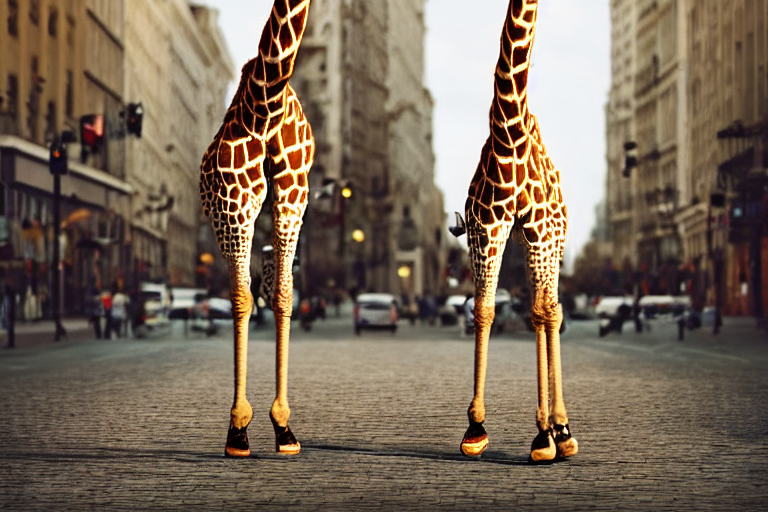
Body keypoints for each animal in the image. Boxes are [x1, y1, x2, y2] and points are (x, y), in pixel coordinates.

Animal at [452, 0, 578, 462]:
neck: (509, 133)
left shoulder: (540, 227)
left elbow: (543, 312)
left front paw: (545, 435)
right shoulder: (487, 225)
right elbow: (484, 309)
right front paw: (475, 428)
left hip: (553, 235)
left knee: (551, 309)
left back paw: (561, 431)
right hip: (527, 240)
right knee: (539, 308)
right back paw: (553, 431)